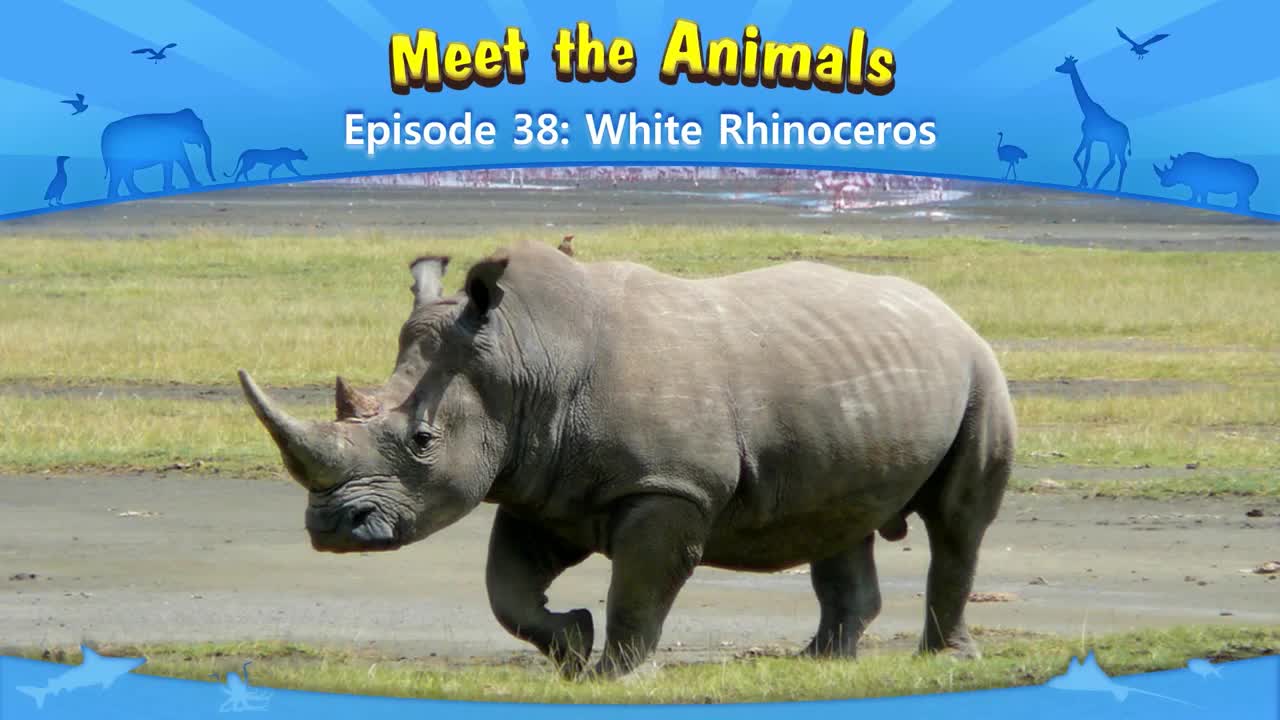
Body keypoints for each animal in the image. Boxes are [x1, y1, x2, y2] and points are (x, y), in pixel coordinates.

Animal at [238, 241, 1016, 678]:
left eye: (423, 443)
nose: (331, 529)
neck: (524, 359)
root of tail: (946, 311)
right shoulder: (541, 483)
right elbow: (505, 590)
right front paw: (572, 646)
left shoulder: (667, 487)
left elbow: (639, 588)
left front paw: (616, 675)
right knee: (839, 518)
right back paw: (821, 665)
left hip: (981, 370)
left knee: (957, 524)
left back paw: (943, 661)